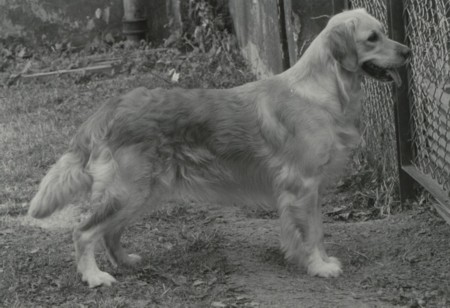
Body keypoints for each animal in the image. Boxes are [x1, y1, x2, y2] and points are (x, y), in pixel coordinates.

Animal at [27, 9, 408, 288]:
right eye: (372, 38)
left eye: (384, 31)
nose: (408, 51)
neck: (321, 90)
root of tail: (112, 106)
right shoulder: (302, 184)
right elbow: (311, 232)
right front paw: (318, 266)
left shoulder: (308, 188)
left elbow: (314, 231)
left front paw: (316, 261)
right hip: (128, 192)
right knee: (84, 231)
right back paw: (94, 277)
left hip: (142, 193)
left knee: (109, 232)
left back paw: (126, 262)